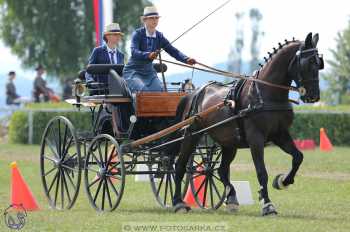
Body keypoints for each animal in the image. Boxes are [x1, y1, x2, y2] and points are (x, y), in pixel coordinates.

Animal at [172, 32, 322, 216]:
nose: (314, 96)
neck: (266, 93)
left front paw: (282, 181)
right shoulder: (255, 138)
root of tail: (194, 92)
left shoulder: (280, 134)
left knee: (221, 170)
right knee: (180, 166)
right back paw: (178, 202)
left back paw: (231, 199)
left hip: (228, 143)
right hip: (191, 135)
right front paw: (267, 204)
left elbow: (298, 157)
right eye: (308, 62)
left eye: (319, 63)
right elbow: (261, 171)